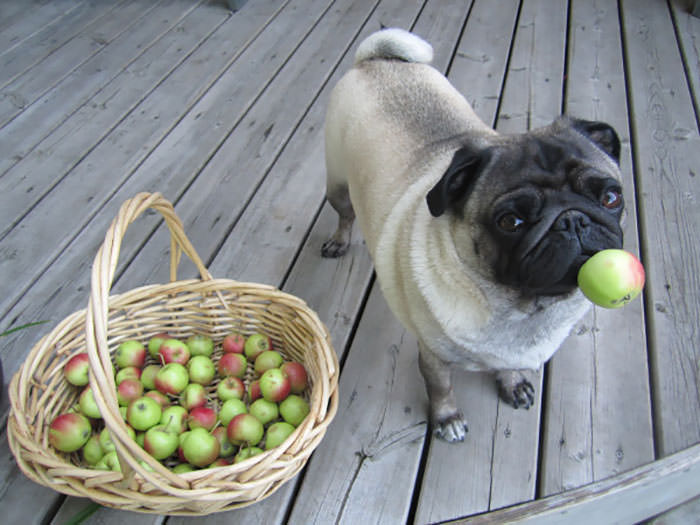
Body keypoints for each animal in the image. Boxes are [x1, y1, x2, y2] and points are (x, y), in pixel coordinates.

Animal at [322, 27, 624, 438]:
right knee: (344, 216)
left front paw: (513, 383)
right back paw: (339, 241)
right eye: (510, 222)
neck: (520, 310)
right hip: (337, 185)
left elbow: (507, 367)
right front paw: (447, 418)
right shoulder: (433, 356)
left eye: (611, 198)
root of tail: (376, 60)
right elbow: (441, 388)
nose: (571, 219)